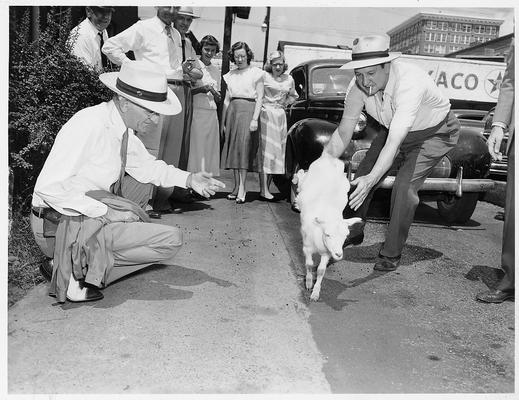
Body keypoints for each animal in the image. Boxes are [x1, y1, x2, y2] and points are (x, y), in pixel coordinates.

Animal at [294, 152, 364, 300]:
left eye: (346, 236)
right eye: (327, 234)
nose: (338, 254)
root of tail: (329, 157)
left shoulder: (327, 252)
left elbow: (321, 270)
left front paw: (315, 292)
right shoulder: (307, 247)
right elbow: (309, 264)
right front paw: (308, 283)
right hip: (307, 179)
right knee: (301, 177)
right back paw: (298, 176)